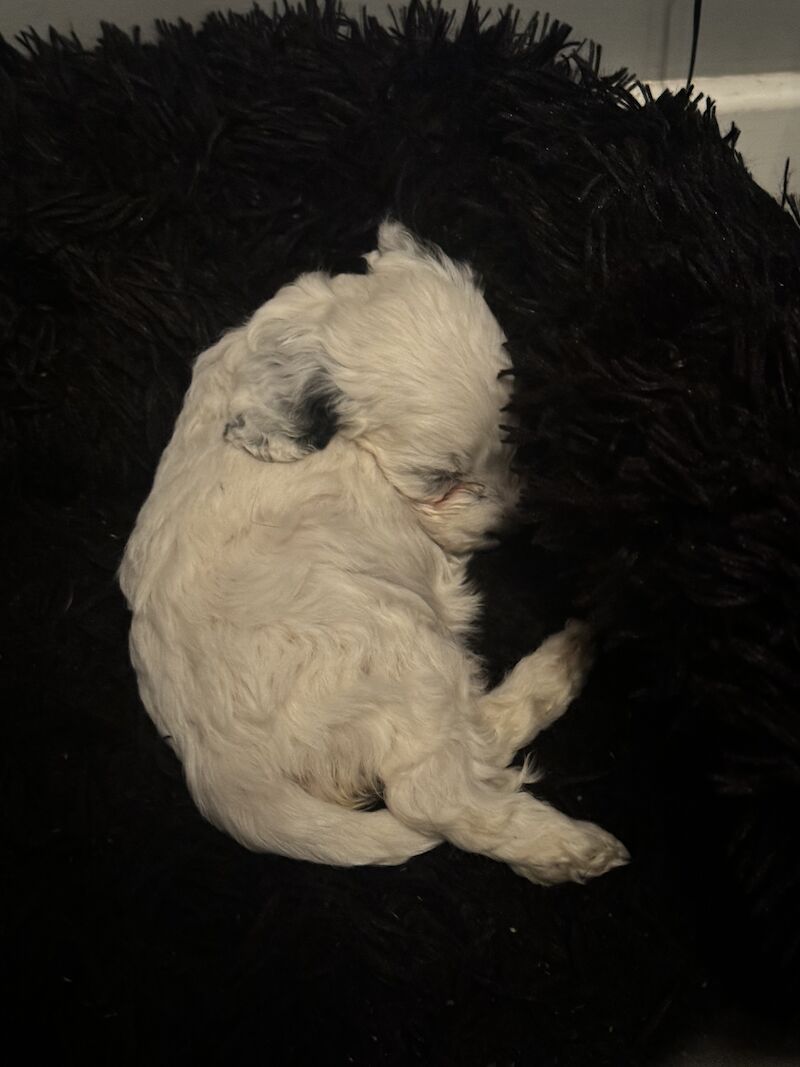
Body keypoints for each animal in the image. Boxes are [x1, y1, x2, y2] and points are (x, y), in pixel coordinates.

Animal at [120, 218, 631, 883]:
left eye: (512, 446)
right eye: (439, 480)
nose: (509, 528)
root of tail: (220, 770)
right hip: (403, 650)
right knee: (438, 787)